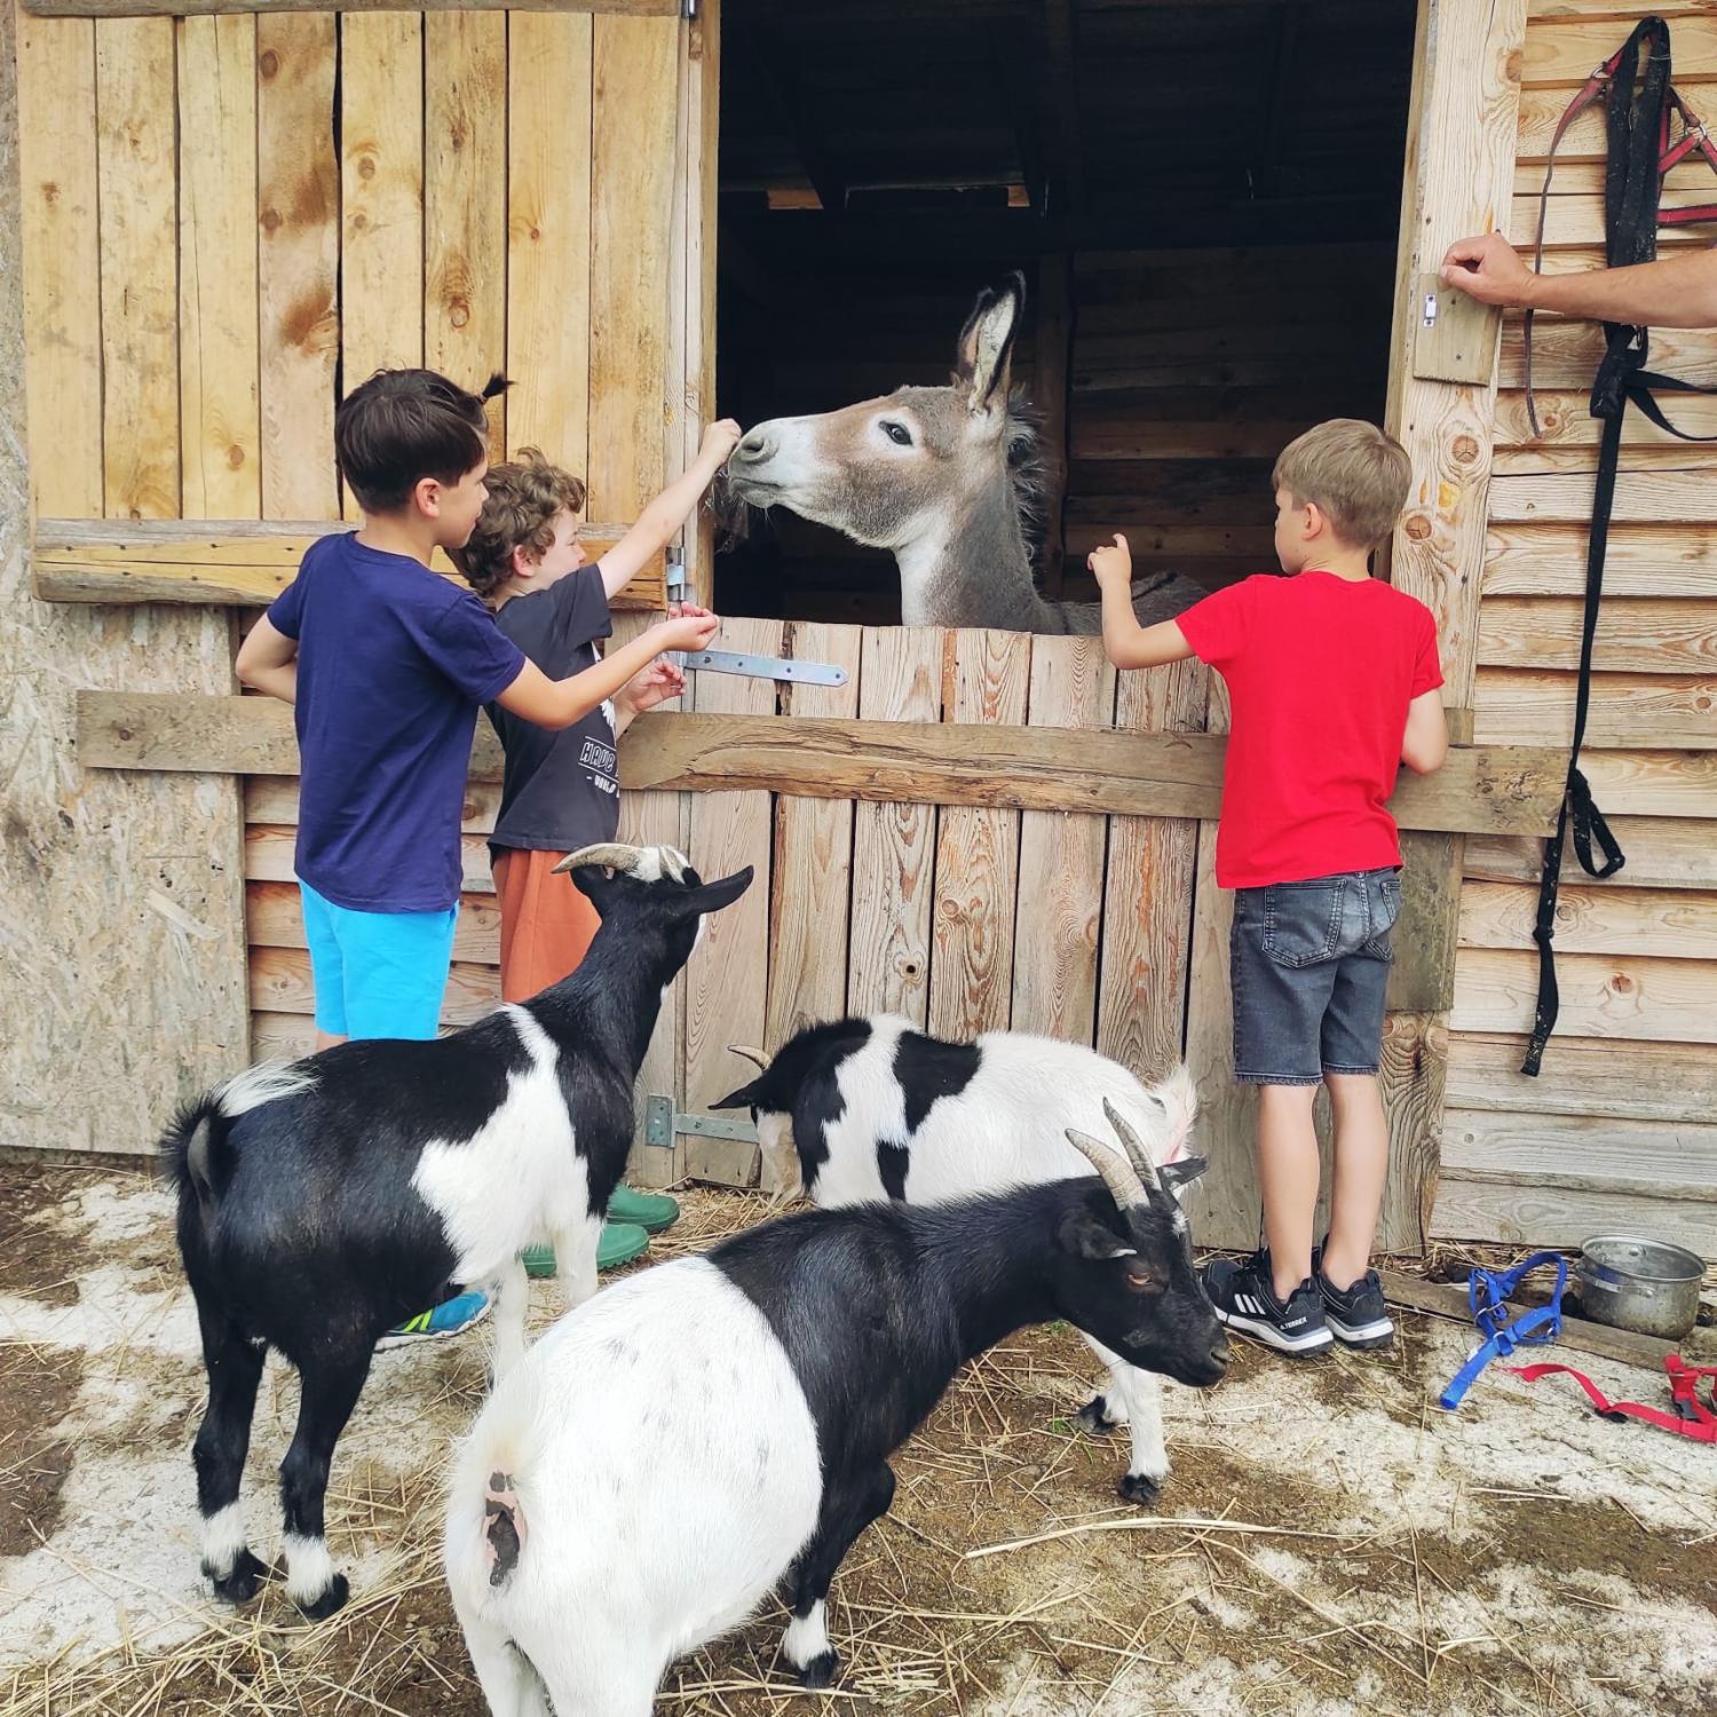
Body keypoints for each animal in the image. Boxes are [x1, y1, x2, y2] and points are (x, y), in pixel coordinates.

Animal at [717, 1016, 1201, 1504]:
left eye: (756, 1111)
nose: (775, 1187)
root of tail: (1159, 1125)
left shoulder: (846, 1193)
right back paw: (1105, 1412)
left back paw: (1144, 1474)